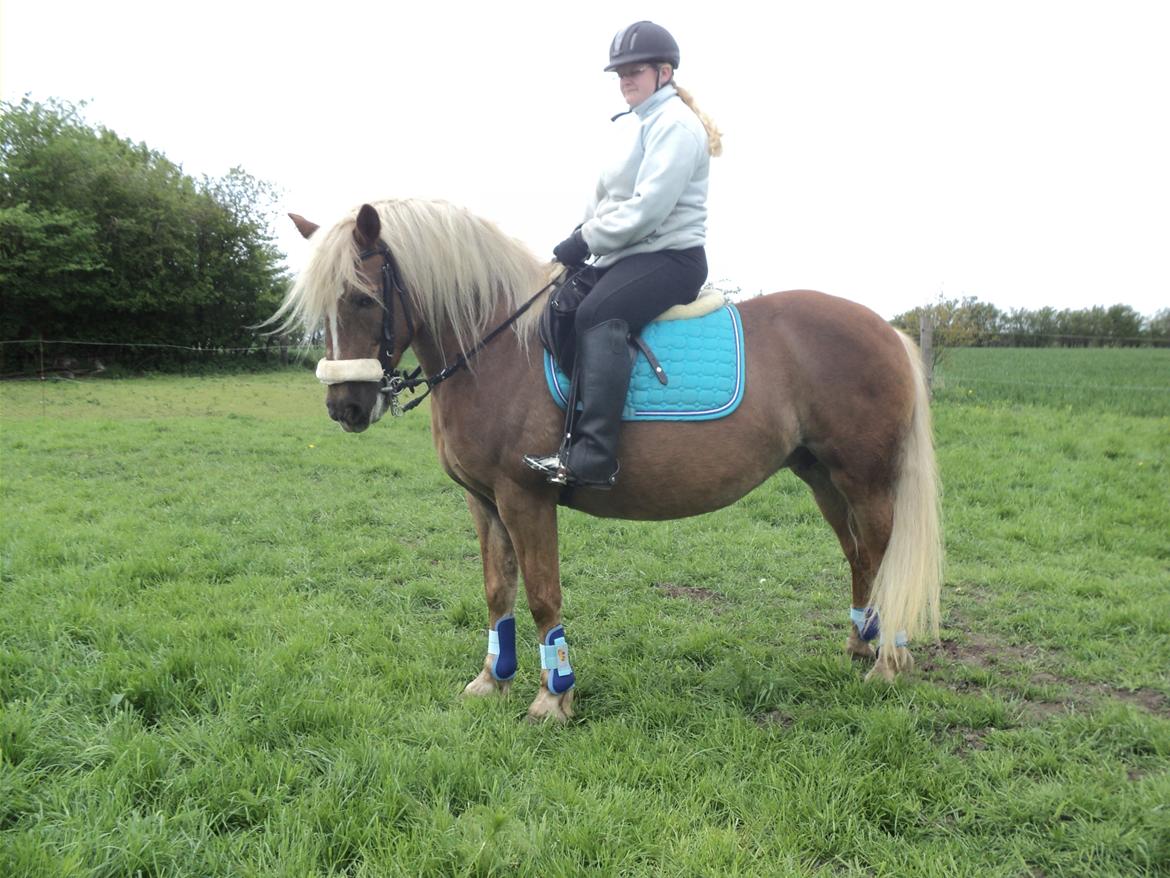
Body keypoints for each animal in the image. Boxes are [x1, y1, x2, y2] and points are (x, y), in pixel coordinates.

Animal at [273, 199, 940, 721]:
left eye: (362, 299)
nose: (346, 406)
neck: (496, 347)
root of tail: (888, 330)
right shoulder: (483, 500)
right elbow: (497, 590)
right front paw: (492, 681)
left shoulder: (524, 496)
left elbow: (542, 594)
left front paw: (553, 697)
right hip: (821, 477)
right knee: (860, 556)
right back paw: (860, 645)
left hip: (864, 478)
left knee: (882, 554)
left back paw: (887, 662)